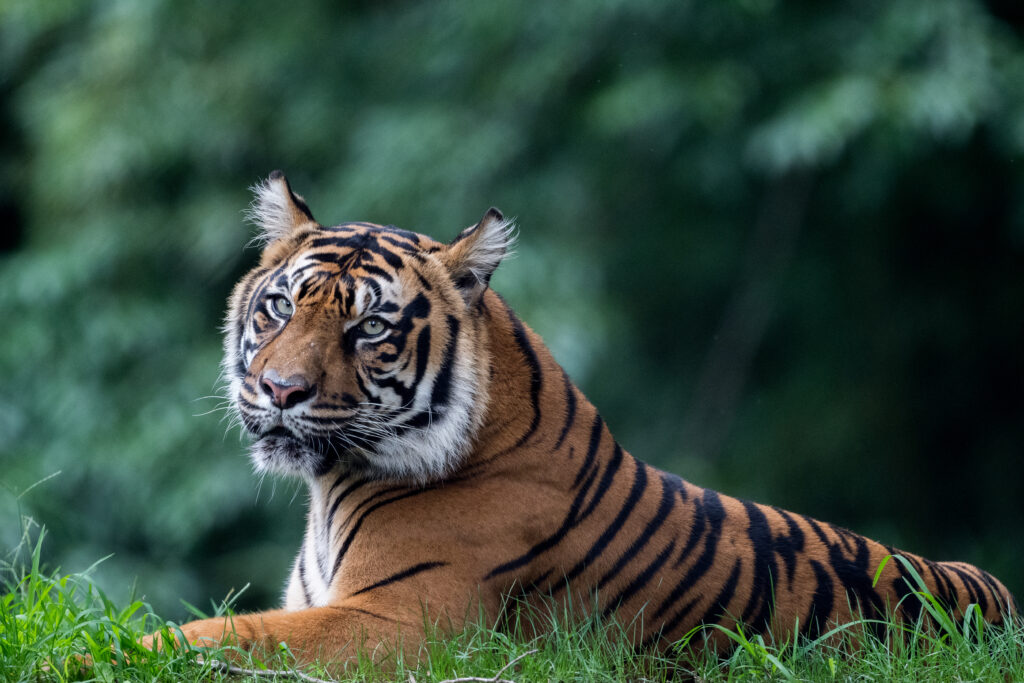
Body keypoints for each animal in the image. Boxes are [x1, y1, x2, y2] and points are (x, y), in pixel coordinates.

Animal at [152, 171, 1018, 668]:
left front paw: (132, 646)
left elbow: (225, 633)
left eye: (368, 327)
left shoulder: (402, 623)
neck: (330, 489)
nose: (280, 390)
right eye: (279, 307)